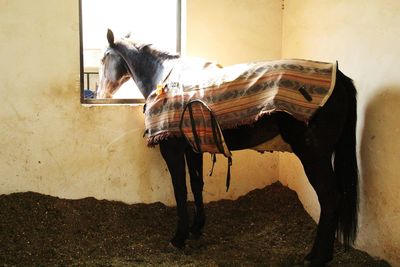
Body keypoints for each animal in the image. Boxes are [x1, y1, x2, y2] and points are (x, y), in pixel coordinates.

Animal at [97, 29, 360, 267]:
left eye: (103, 58)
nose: (100, 93)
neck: (166, 78)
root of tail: (339, 77)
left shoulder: (172, 150)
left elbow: (180, 190)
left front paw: (179, 237)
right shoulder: (193, 148)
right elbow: (197, 184)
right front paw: (196, 228)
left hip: (314, 156)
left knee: (330, 198)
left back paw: (317, 257)